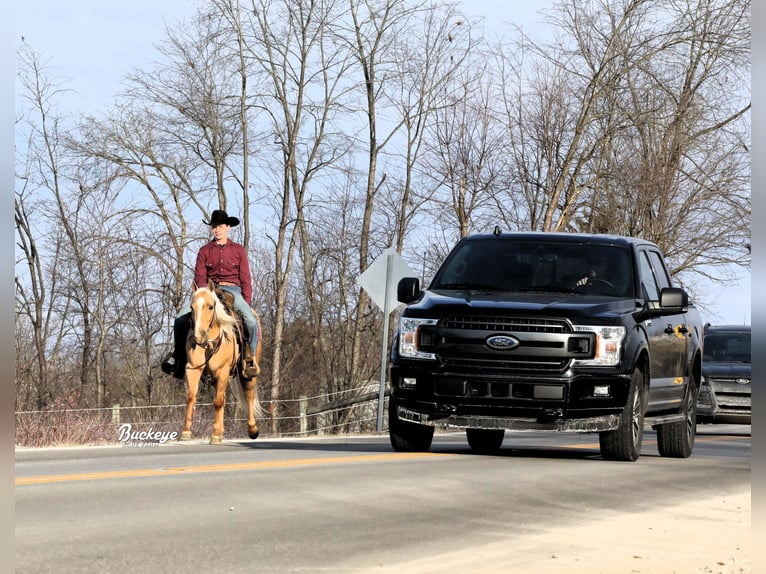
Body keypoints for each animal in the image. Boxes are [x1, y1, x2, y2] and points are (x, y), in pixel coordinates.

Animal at [180, 282, 264, 446]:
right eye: (192, 307)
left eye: (210, 306)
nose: (198, 336)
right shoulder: (193, 369)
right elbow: (191, 397)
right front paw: (186, 432)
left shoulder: (223, 370)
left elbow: (218, 402)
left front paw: (215, 435)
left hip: (248, 373)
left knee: (249, 395)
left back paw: (252, 430)